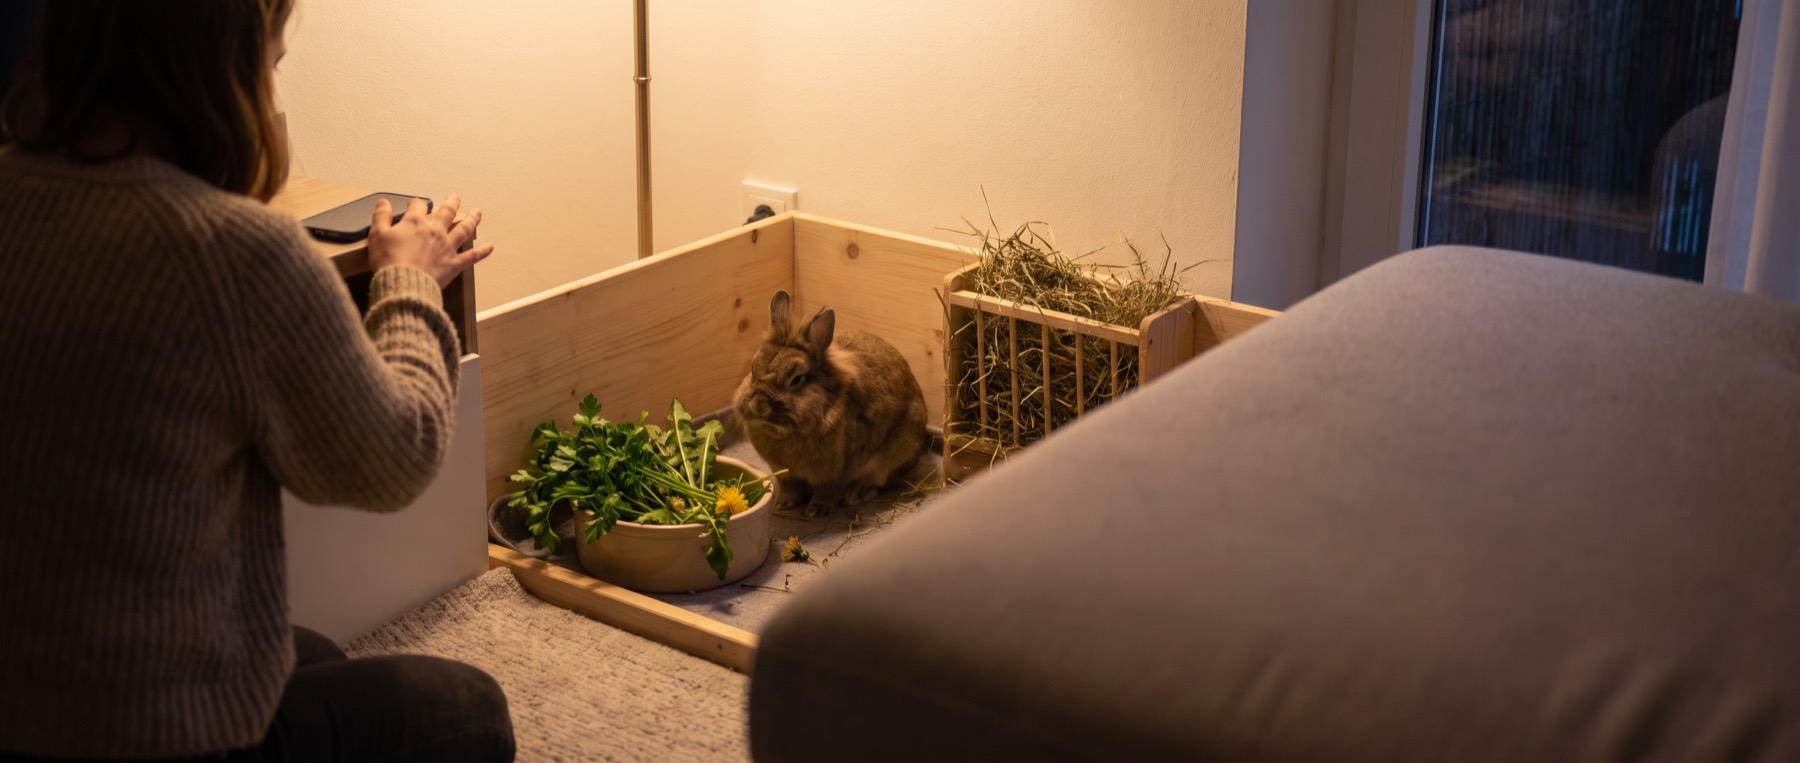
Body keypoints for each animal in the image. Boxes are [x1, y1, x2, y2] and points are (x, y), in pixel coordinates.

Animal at [733, 289, 930, 518]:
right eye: (753, 369)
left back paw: (858, 493)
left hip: (898, 450)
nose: (759, 406)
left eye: (797, 380)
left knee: (880, 479)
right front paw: (782, 504)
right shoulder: (786, 474)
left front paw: (816, 510)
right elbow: (791, 489)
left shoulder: (835, 473)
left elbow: (827, 491)